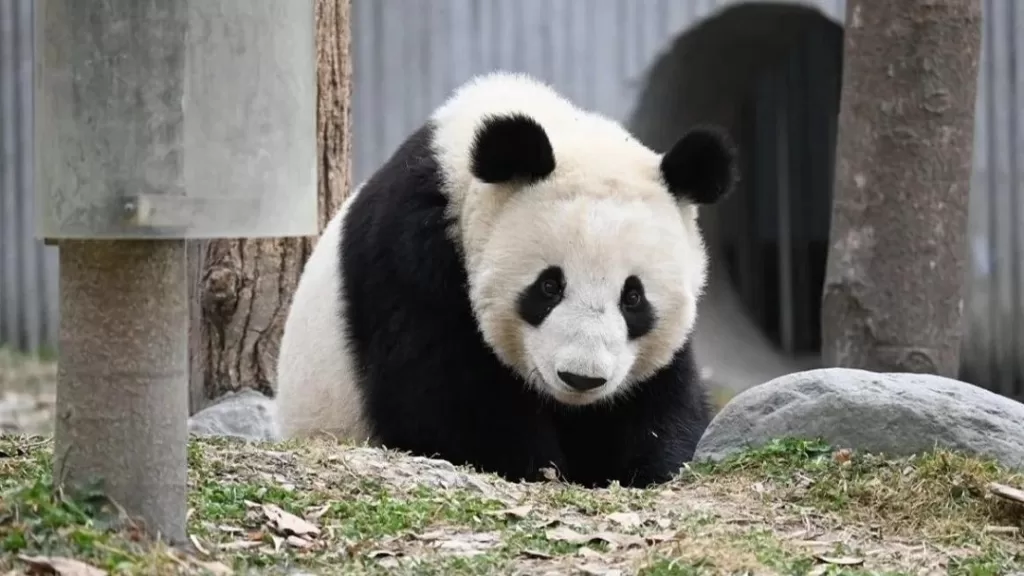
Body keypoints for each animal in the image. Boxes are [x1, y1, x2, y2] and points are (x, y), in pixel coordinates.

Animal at [274, 71, 737, 488]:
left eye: (633, 298)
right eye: (549, 286)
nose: (581, 378)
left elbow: (662, 395)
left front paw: (648, 465)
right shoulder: (412, 257)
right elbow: (444, 397)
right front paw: (535, 465)